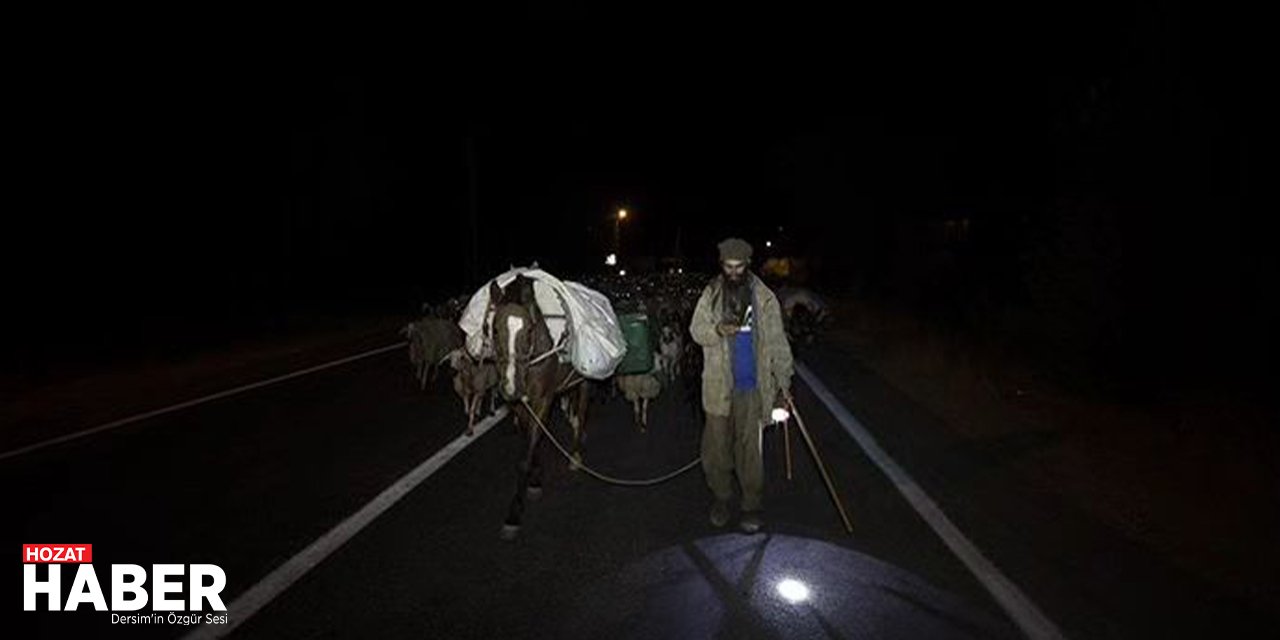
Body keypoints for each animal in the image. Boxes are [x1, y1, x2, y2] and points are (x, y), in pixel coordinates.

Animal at [486, 276, 591, 540]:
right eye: (494, 330)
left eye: (530, 330)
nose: (511, 387)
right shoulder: (520, 406)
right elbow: (531, 440)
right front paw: (535, 479)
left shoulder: (544, 399)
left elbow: (527, 453)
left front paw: (513, 515)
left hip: (585, 381)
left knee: (583, 410)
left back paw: (576, 455)